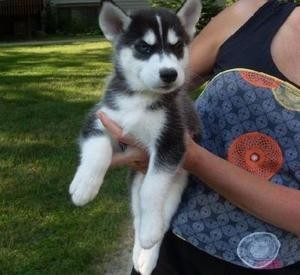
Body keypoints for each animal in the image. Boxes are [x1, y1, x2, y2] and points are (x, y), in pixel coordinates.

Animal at [68, 1, 202, 274]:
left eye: (177, 46)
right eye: (144, 47)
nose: (169, 74)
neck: (139, 99)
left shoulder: (171, 141)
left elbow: (152, 190)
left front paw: (150, 233)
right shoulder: (99, 118)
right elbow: (98, 150)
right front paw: (85, 186)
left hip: (176, 184)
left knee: (159, 218)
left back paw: (148, 251)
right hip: (134, 184)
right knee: (137, 216)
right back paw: (139, 253)